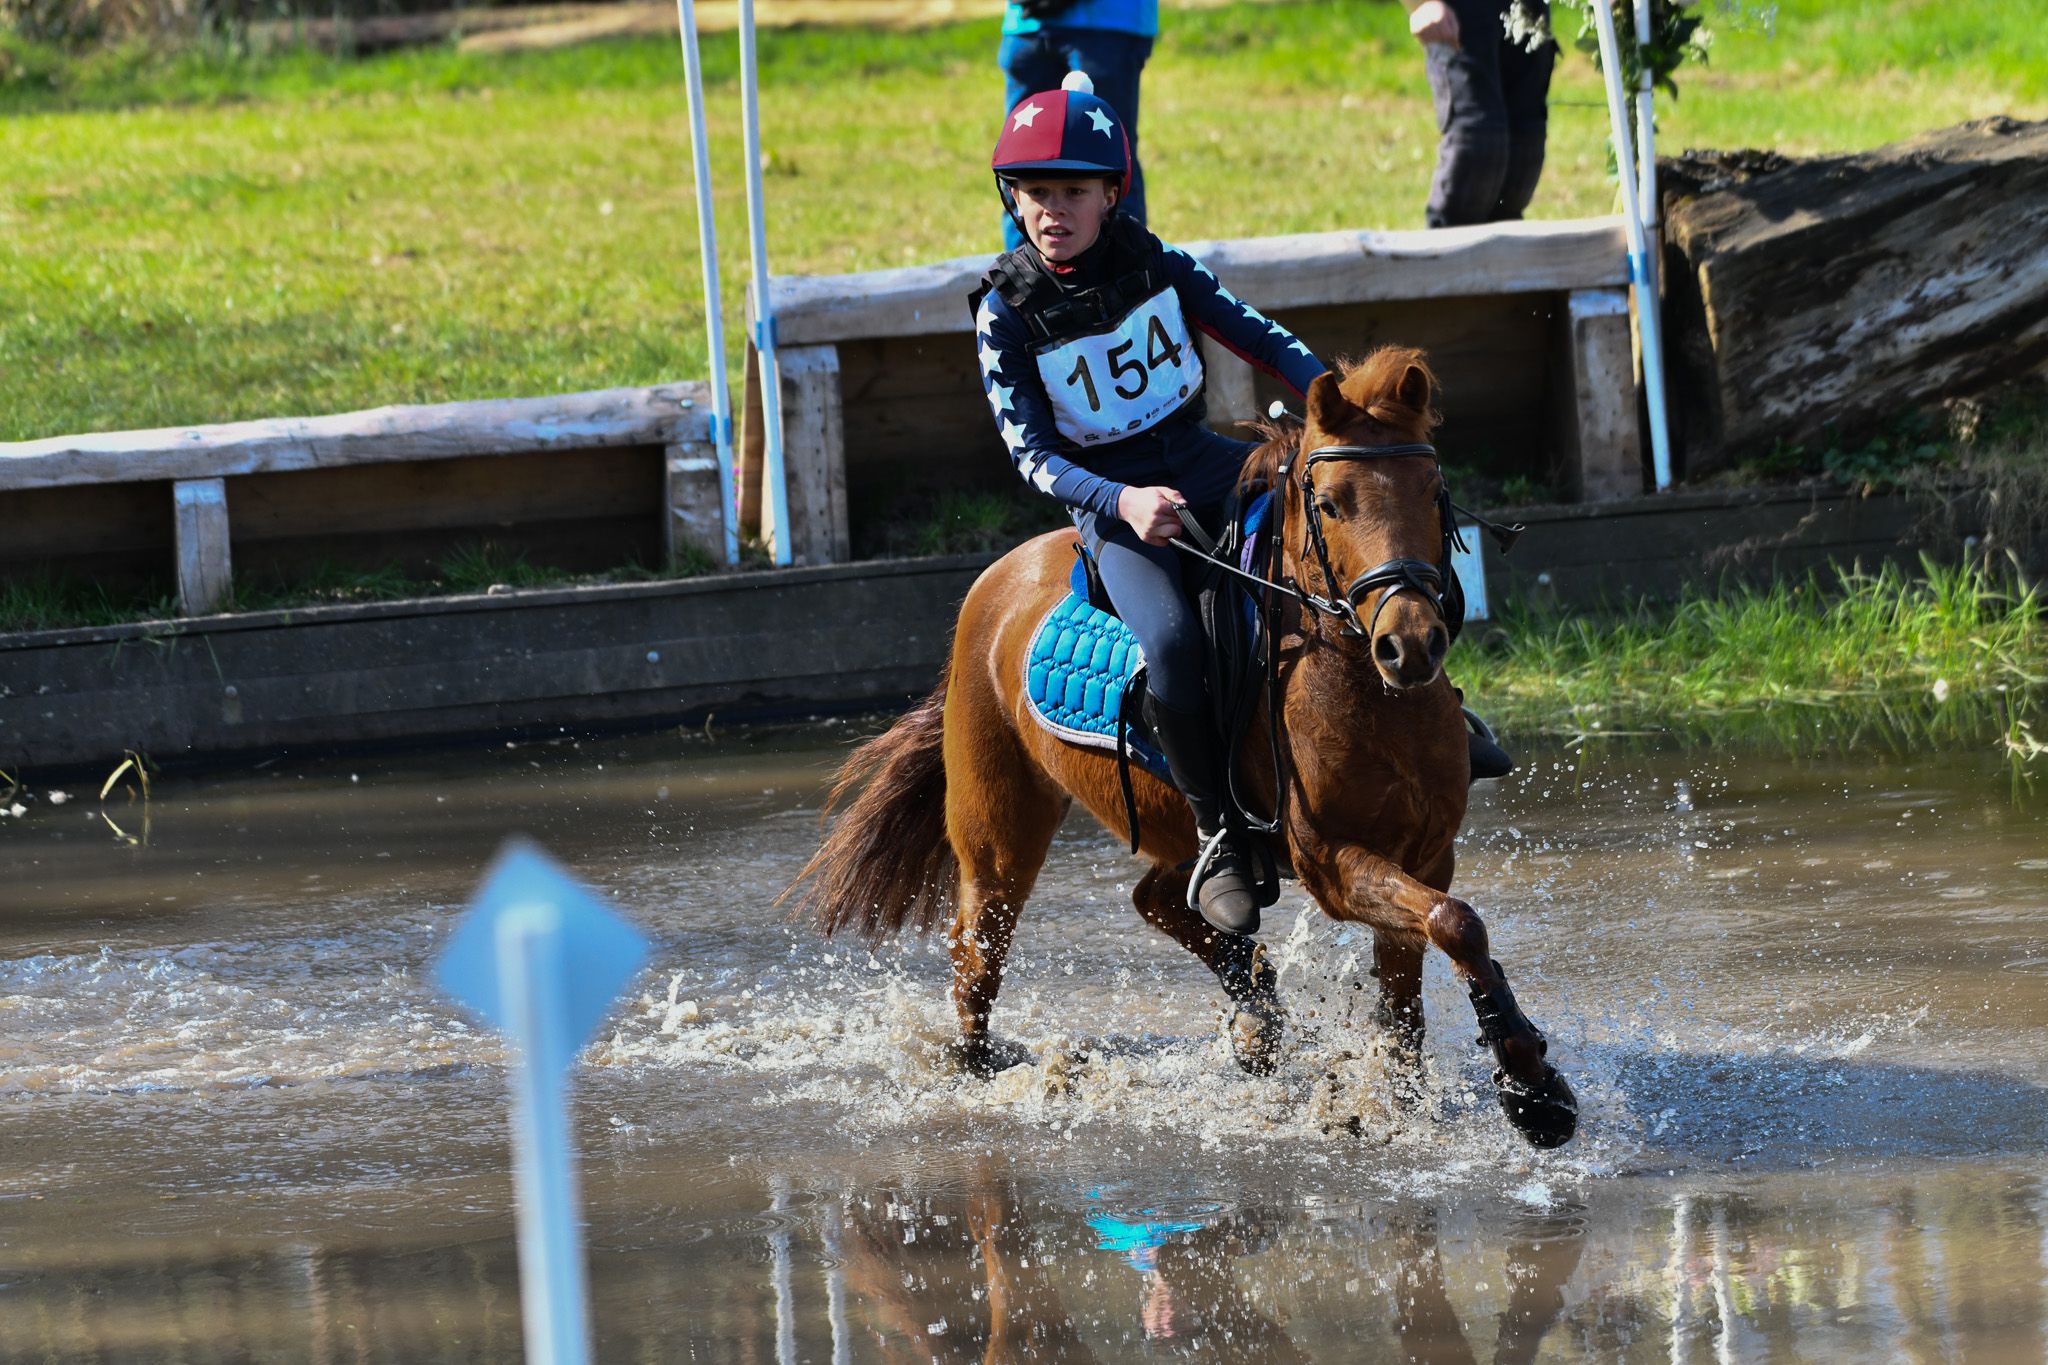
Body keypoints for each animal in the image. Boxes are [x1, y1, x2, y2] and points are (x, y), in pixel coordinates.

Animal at [785, 346, 1578, 1149]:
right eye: (1330, 504)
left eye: (1434, 489)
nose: (1410, 644)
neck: (1369, 694)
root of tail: (996, 581)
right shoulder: (1333, 863)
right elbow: (1456, 923)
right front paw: (1533, 1090)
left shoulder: (1424, 852)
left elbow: (1426, 971)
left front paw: (1460, 1089)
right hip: (999, 833)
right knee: (979, 951)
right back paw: (981, 1070)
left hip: (1175, 825)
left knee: (1166, 897)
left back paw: (1255, 1010)